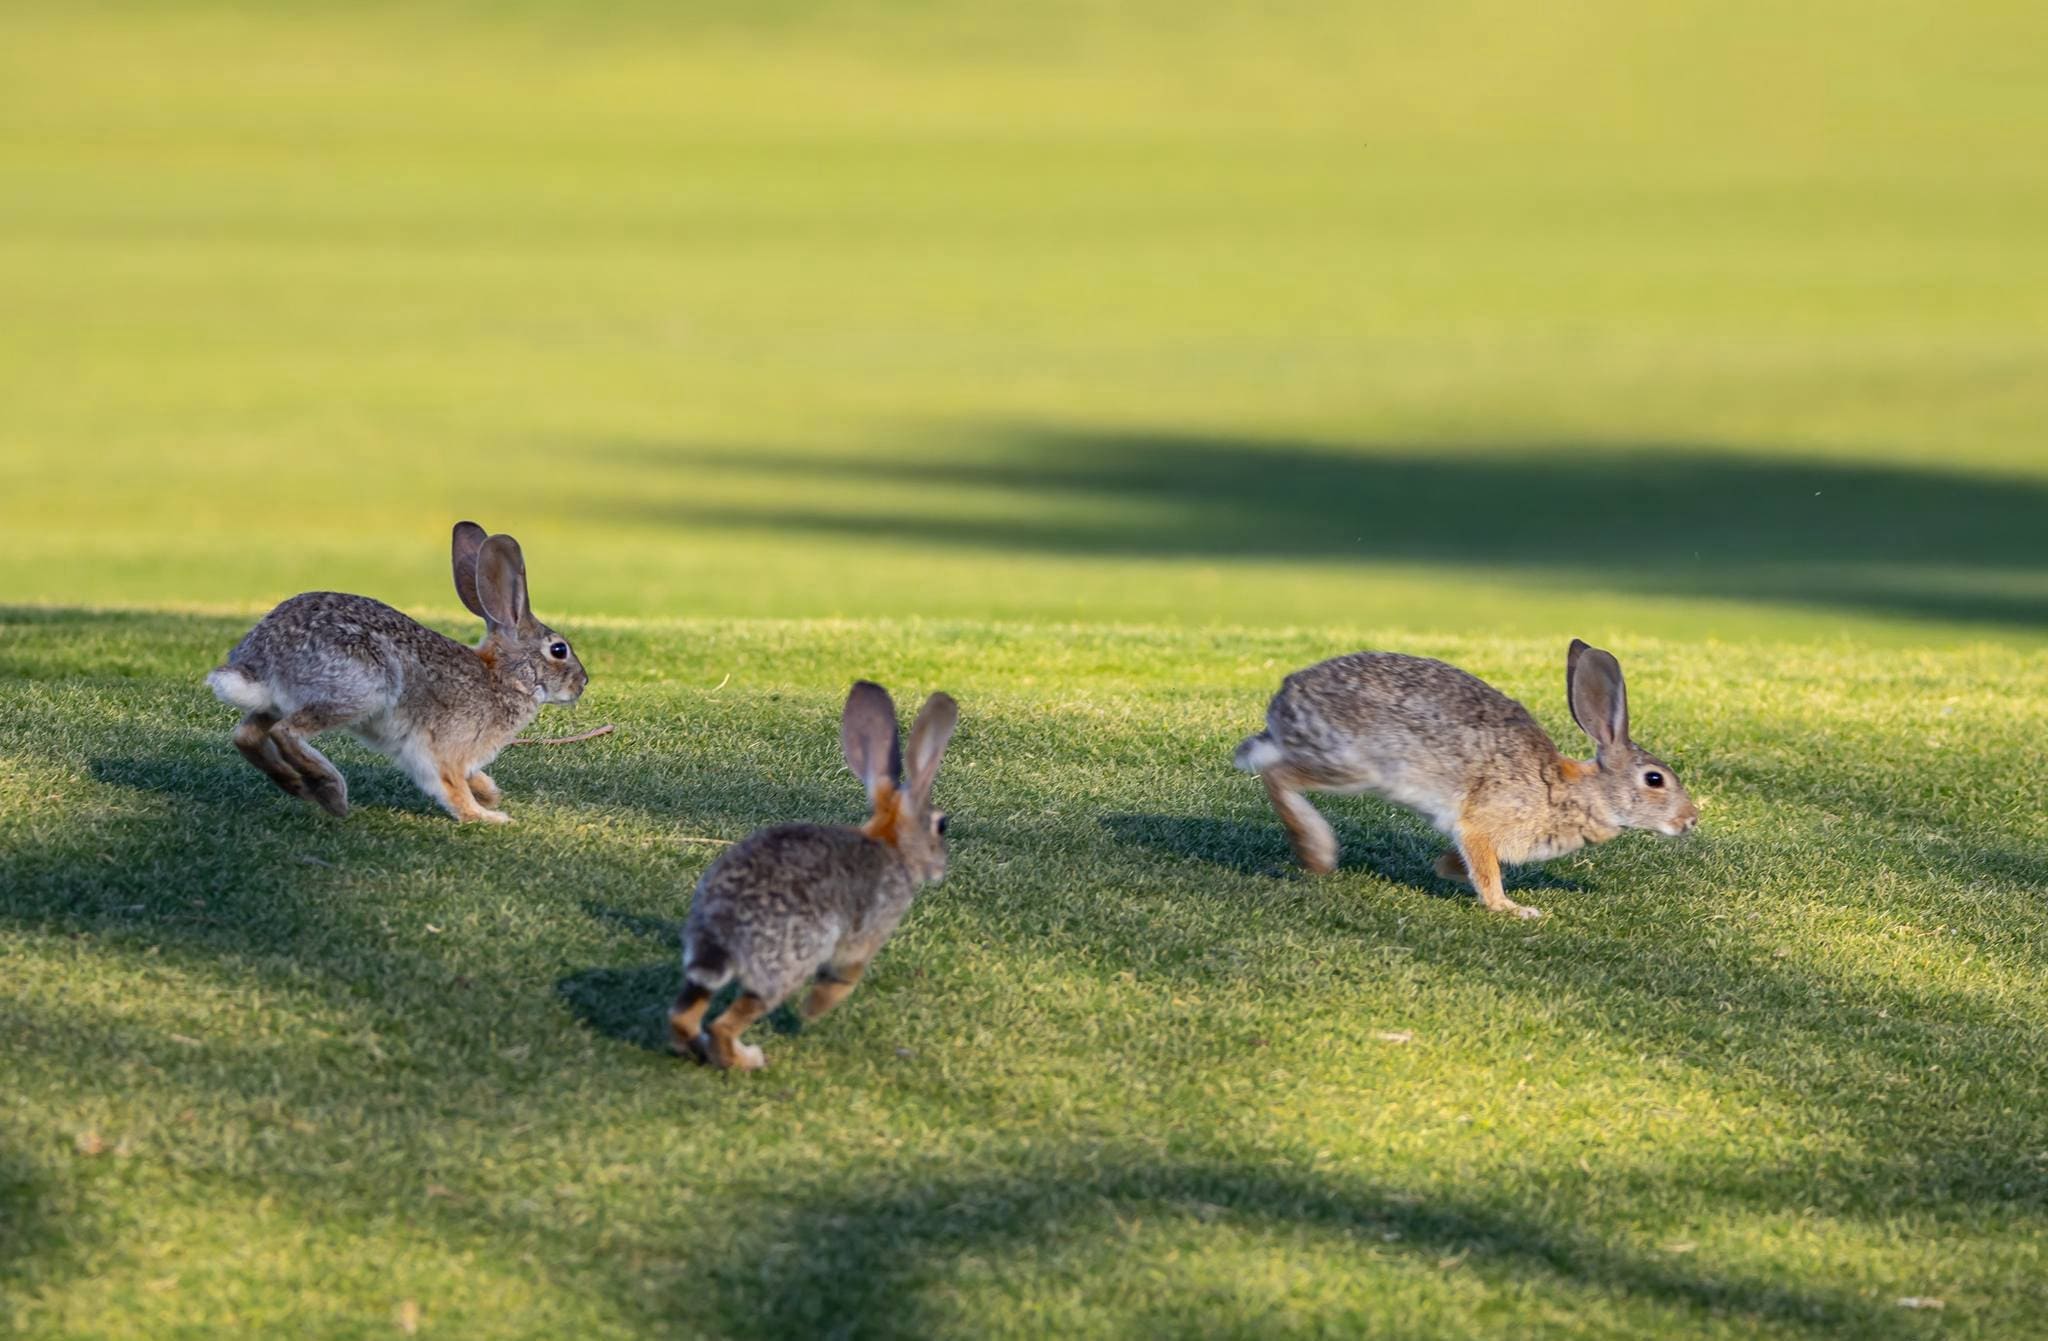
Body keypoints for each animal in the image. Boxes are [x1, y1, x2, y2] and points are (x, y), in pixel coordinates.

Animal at [203, 522, 589, 818]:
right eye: (559, 650)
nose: (583, 683)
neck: (505, 676)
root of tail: (258, 661)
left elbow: (470, 777)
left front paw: (490, 793)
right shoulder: (444, 749)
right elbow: (452, 786)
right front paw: (486, 816)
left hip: (280, 703)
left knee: (247, 735)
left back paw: (296, 785)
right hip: (362, 690)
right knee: (286, 732)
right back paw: (331, 792)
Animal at [671, 683, 958, 1072]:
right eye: (941, 826)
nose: (941, 868)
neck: (891, 844)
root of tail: (720, 933)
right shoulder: (868, 934)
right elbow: (845, 976)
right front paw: (812, 1012)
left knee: (682, 1017)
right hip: (787, 966)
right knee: (724, 1025)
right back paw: (748, 1059)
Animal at [1228, 638, 1695, 913]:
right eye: (1655, 780)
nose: (1691, 820)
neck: (1580, 792)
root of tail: (1283, 705)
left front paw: (1446, 868)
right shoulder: (1482, 824)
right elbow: (1487, 872)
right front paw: (1510, 908)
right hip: (1353, 763)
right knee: (1278, 775)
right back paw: (1317, 854)